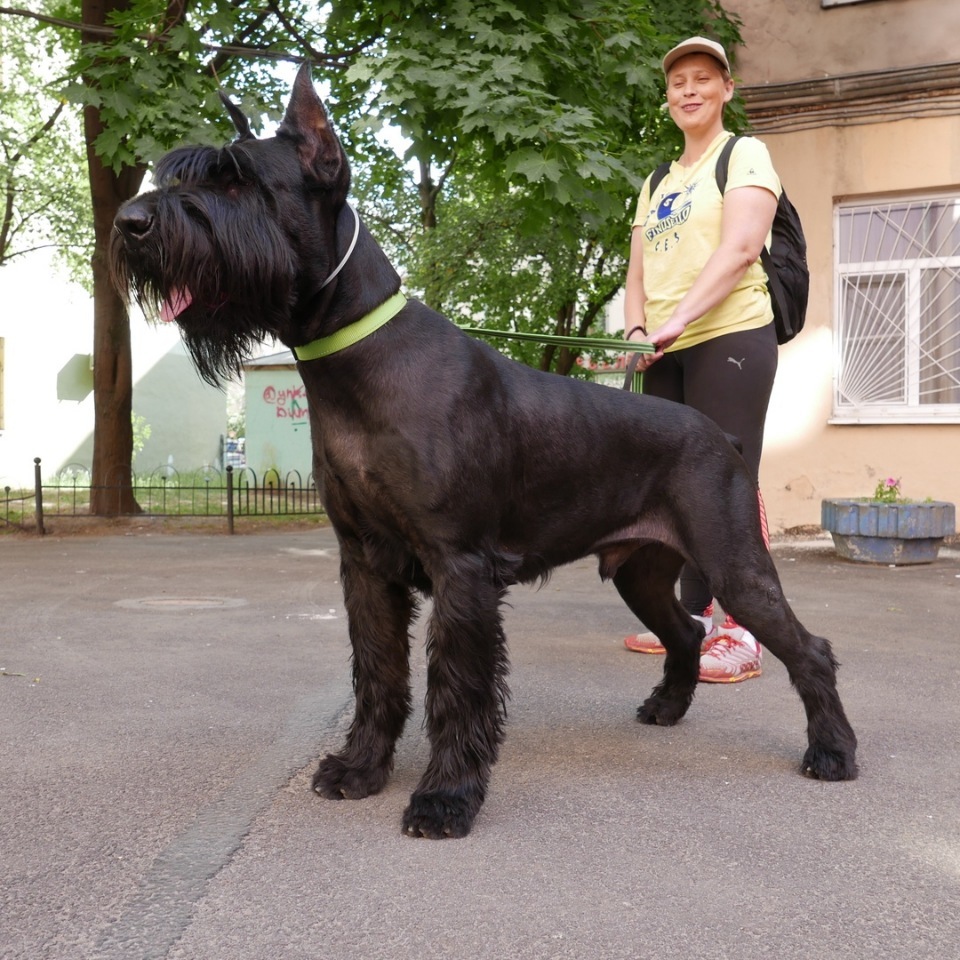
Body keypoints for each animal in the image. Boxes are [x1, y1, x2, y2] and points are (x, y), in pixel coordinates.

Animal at [109, 63, 860, 836]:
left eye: (237, 182)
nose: (130, 224)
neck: (360, 360)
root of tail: (720, 435)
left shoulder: (461, 568)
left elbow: (456, 688)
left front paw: (444, 797)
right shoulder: (364, 565)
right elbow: (377, 672)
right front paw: (361, 767)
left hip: (735, 565)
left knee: (809, 648)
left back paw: (832, 751)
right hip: (640, 573)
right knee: (682, 631)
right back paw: (667, 707)